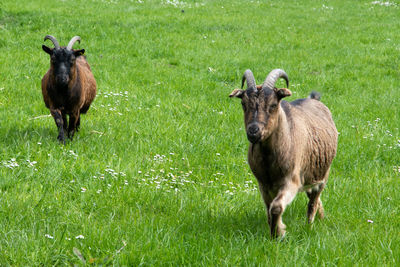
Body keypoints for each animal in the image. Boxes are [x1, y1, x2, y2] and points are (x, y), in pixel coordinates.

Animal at [228, 69, 338, 239]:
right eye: (243, 104)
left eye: (273, 105)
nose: (253, 132)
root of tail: (314, 100)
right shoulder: (263, 184)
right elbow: (269, 209)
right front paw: (274, 231)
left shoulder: (291, 180)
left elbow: (276, 207)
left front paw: (278, 233)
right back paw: (321, 217)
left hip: (323, 174)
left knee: (313, 200)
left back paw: (310, 225)